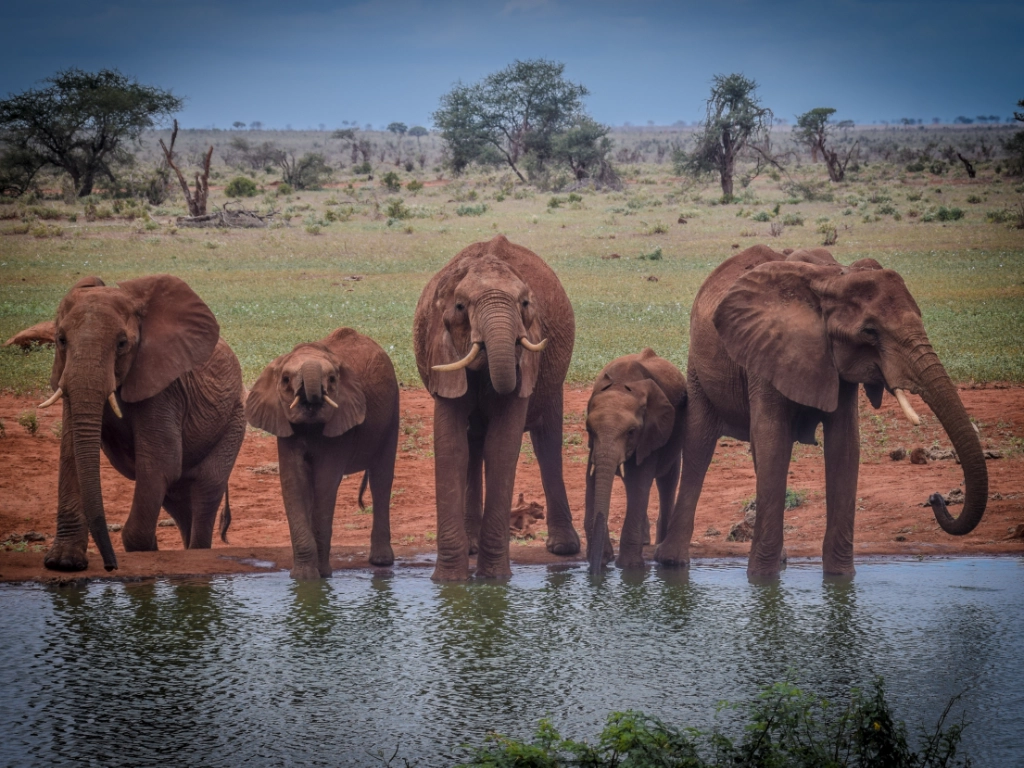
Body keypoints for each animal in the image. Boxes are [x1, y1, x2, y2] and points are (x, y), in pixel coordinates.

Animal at [39, 275, 246, 572]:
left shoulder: (164, 389)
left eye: (122, 344)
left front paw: (144, 554)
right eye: (61, 340)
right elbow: (71, 454)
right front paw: (64, 562)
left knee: (207, 487)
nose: (110, 567)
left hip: (234, 419)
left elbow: (160, 463)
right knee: (179, 499)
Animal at [245, 327, 398, 579]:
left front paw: (322, 576)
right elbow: (294, 482)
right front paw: (303, 578)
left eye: (333, 379)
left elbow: (325, 483)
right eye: (285, 379)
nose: (310, 396)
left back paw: (381, 562)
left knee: (381, 479)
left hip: (392, 410)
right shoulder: (284, 423)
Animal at [413, 235, 580, 581]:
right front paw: (449, 581)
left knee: (547, 442)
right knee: (473, 445)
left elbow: (502, 447)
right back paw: (471, 546)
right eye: (460, 307)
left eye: (525, 304)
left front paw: (493, 580)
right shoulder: (441, 348)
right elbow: (452, 447)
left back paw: (563, 548)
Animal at [584, 349, 687, 574]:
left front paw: (629, 567)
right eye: (589, 430)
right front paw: (603, 559)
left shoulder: (650, 432)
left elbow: (639, 484)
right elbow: (592, 480)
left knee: (667, 480)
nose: (595, 572)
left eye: (631, 432)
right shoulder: (593, 447)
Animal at [655, 245, 988, 579]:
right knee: (699, 447)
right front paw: (762, 580)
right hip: (699, 370)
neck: (832, 279)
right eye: (870, 332)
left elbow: (844, 446)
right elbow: (774, 442)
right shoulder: (768, 350)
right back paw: (672, 563)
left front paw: (840, 579)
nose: (936, 497)